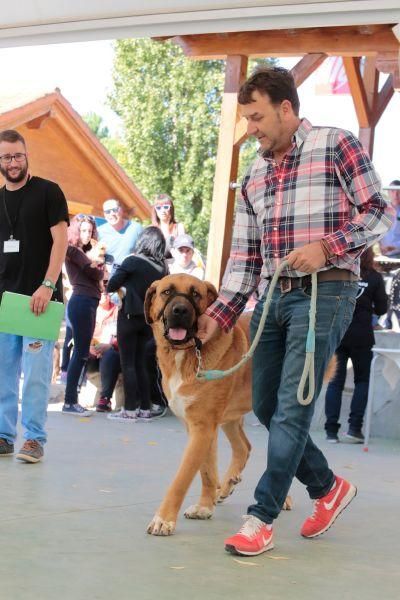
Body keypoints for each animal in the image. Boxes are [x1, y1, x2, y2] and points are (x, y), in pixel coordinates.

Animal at [144, 274, 294, 536]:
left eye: (195, 294)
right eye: (166, 292)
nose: (180, 310)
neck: (187, 355)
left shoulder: (203, 427)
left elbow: (182, 478)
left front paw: (164, 519)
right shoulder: (199, 427)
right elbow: (205, 470)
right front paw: (206, 505)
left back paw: (283, 498)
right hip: (231, 418)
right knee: (244, 447)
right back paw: (225, 486)